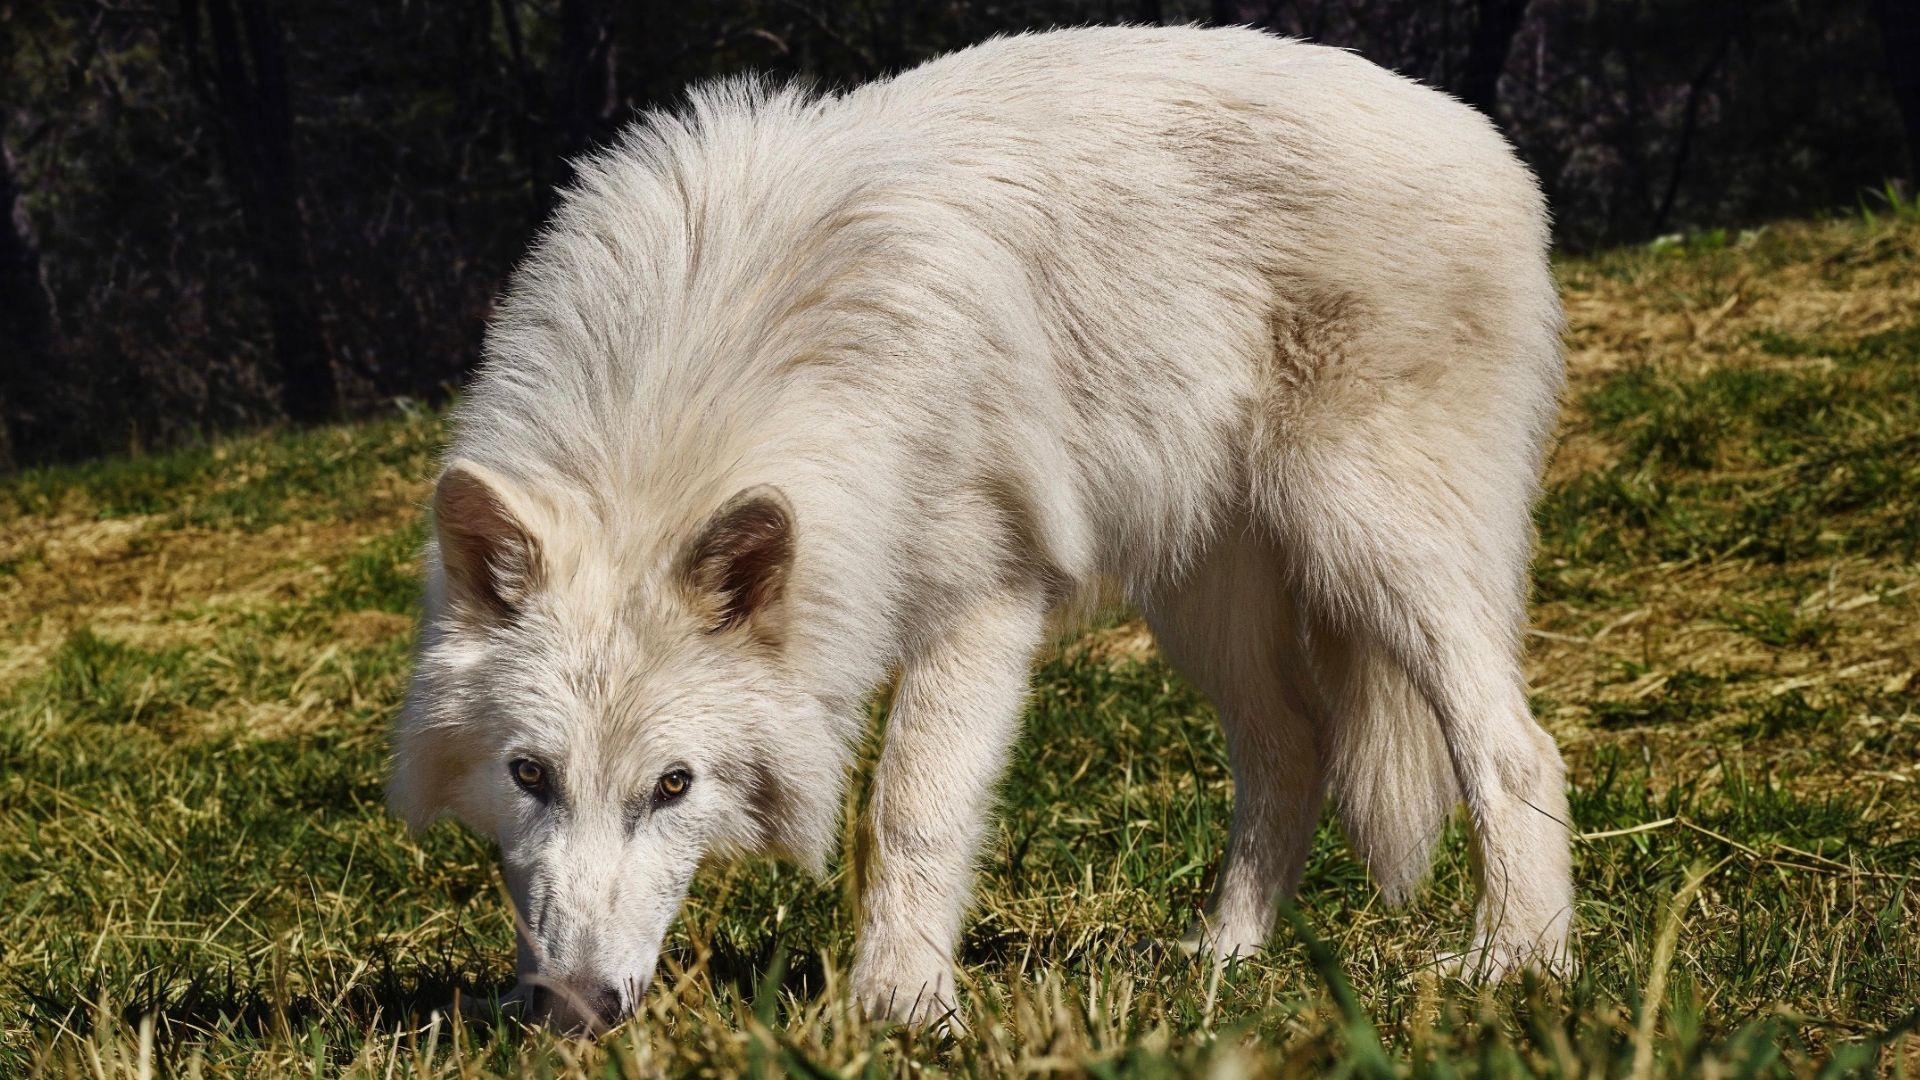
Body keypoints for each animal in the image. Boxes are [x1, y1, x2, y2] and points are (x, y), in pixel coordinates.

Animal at [388, 25, 1572, 1032]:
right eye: (529, 775)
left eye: (673, 786)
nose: (571, 1011)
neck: (707, 374)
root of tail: (1485, 140)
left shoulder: (987, 600)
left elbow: (911, 809)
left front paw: (902, 1007)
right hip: (1205, 602)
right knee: (1293, 749)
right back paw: (1225, 959)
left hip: (1372, 547)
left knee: (1515, 746)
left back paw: (1517, 961)